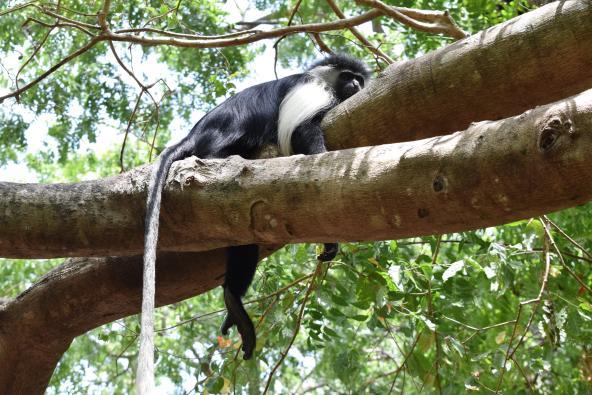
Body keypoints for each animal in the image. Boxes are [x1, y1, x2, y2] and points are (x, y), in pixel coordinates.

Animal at [139, 54, 370, 394]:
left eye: (359, 79)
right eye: (346, 76)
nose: (355, 84)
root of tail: (194, 136)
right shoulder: (312, 90)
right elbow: (303, 131)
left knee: (242, 243)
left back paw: (233, 302)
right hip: (220, 146)